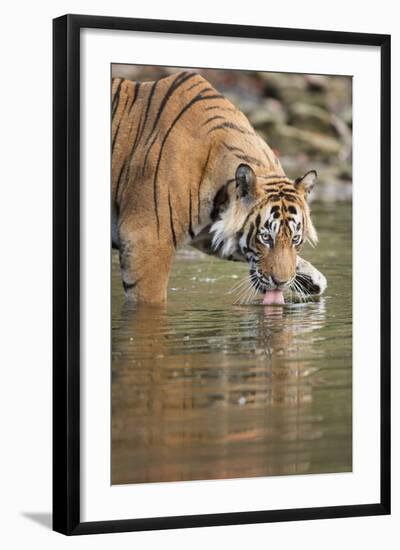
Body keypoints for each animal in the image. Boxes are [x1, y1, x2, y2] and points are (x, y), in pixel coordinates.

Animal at [111, 70, 326, 304]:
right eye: (266, 238)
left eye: (295, 239)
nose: (281, 282)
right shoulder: (146, 240)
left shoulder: (210, 233)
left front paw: (313, 279)